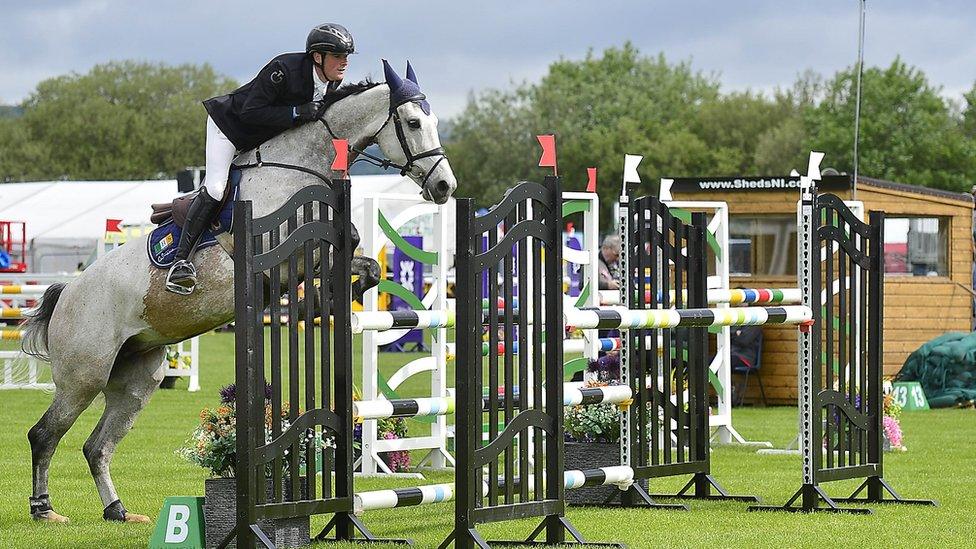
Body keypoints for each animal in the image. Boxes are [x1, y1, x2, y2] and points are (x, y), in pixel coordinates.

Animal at [21, 58, 458, 524]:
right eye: (413, 123)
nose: (444, 187)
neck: (299, 167)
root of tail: (65, 295)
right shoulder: (282, 256)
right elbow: (329, 253)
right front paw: (318, 299)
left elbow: (366, 261)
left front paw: (334, 294)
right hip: (84, 375)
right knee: (44, 434)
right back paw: (45, 510)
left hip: (137, 380)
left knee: (97, 446)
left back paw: (118, 511)